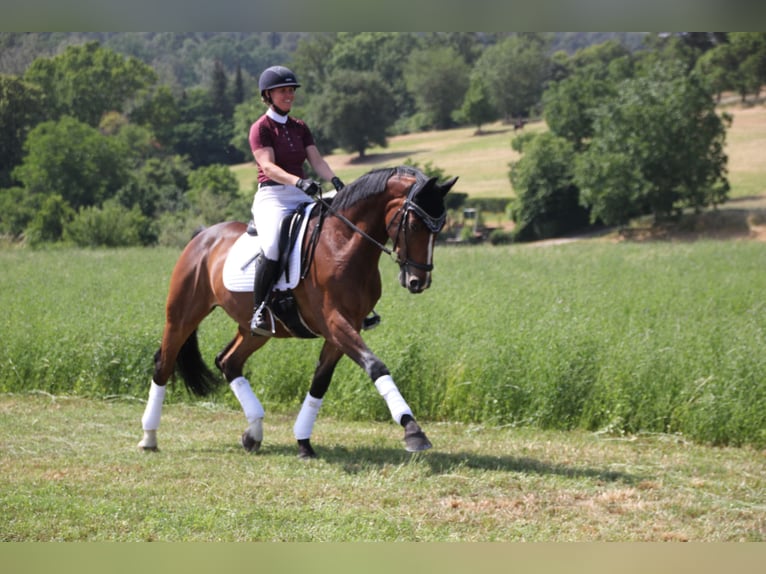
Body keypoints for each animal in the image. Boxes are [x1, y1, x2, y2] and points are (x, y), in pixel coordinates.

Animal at [138, 165, 460, 460]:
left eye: (440, 226)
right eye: (415, 225)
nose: (419, 281)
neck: (342, 243)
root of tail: (204, 234)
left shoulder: (344, 328)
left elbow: (320, 383)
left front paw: (303, 442)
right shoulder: (334, 322)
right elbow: (375, 366)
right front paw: (413, 430)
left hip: (255, 330)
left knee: (228, 361)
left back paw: (253, 433)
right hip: (182, 315)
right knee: (164, 364)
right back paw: (149, 437)